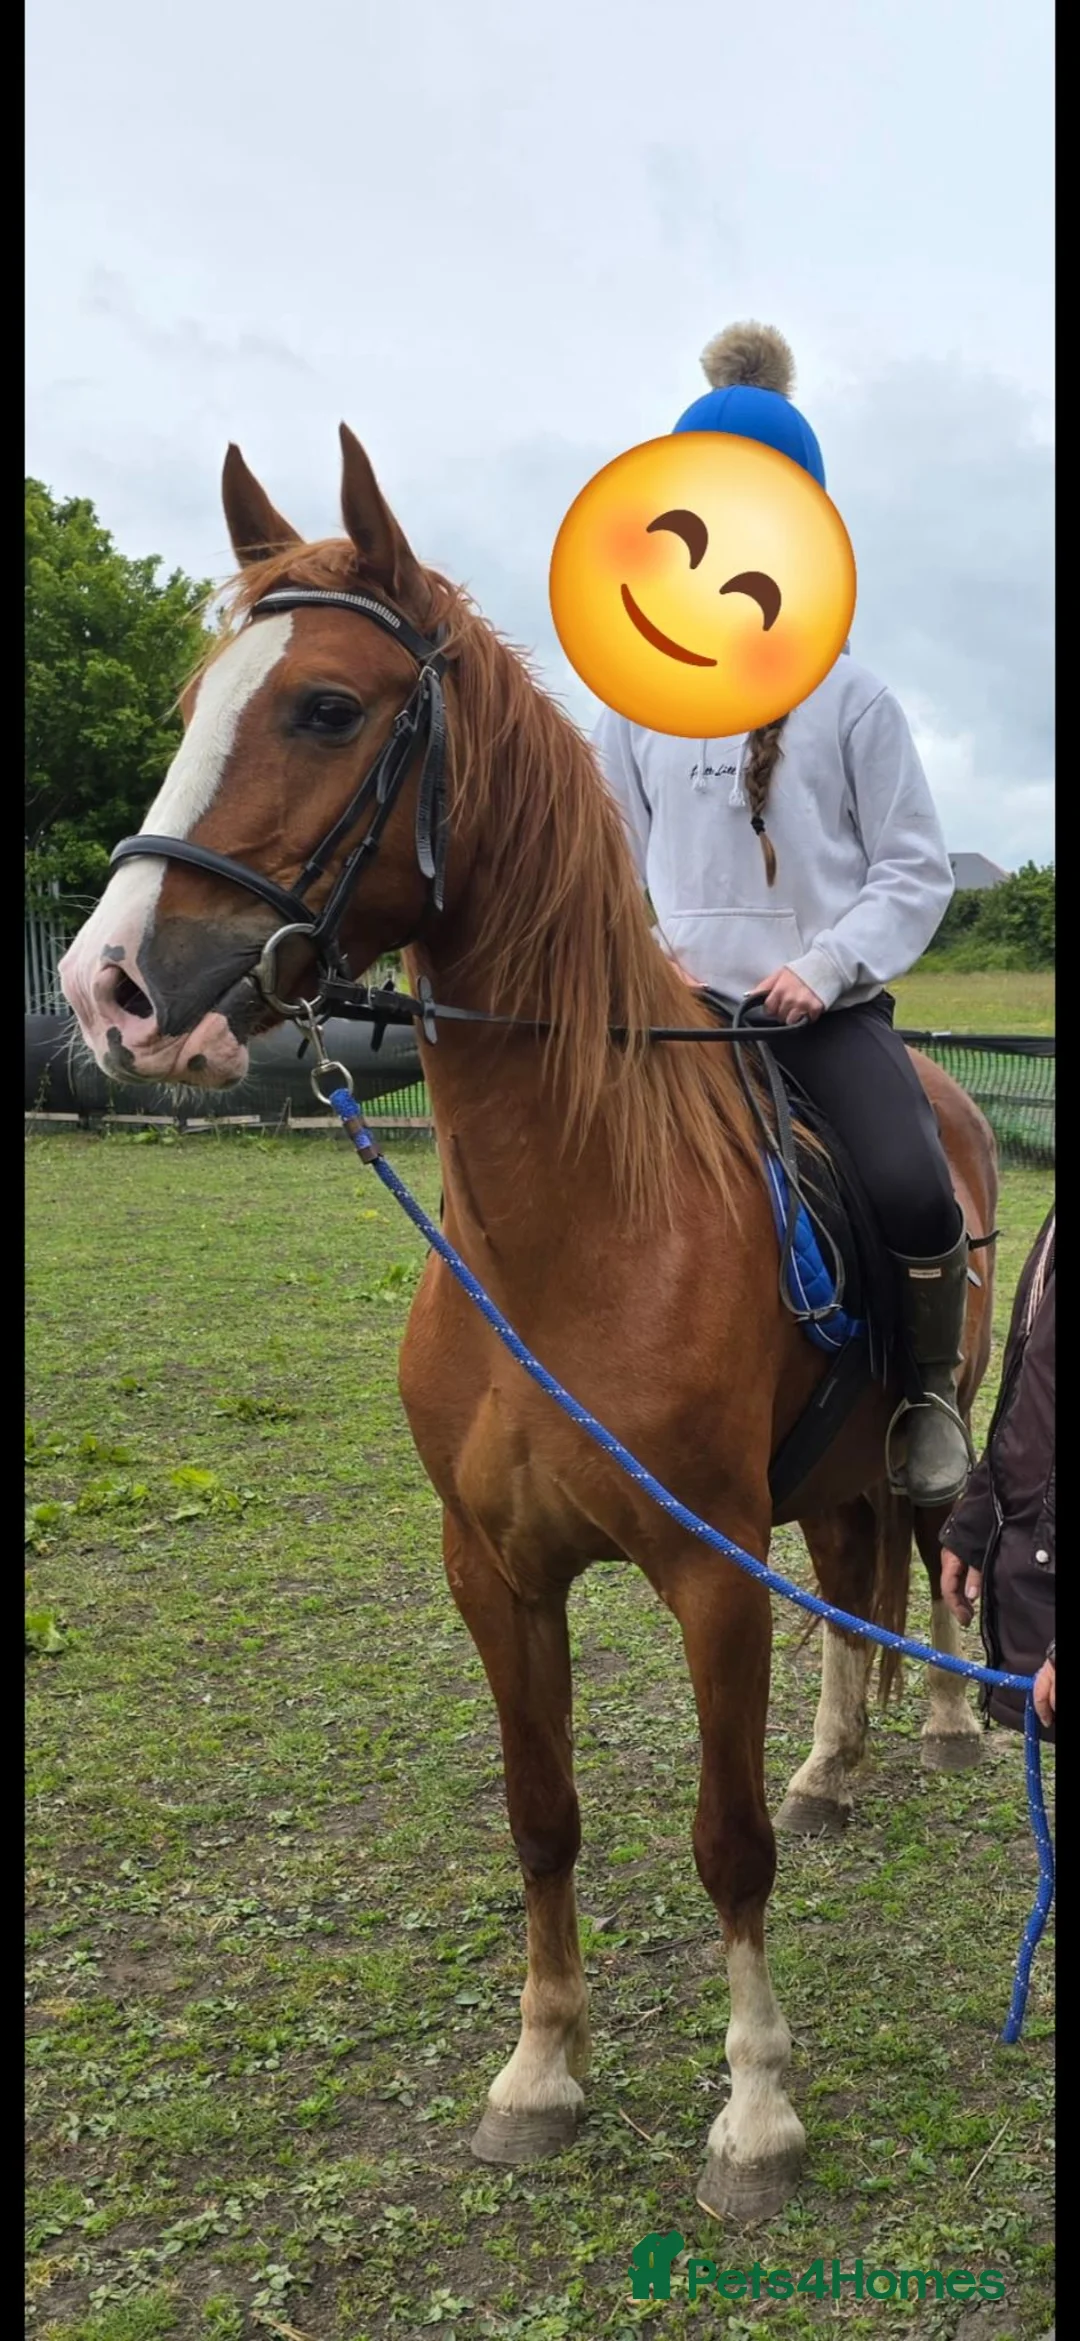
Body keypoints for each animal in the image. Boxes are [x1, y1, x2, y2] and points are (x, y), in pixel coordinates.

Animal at [59, 426, 997, 2221]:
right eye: (202, 695)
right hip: (817, 1474)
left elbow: (720, 1843)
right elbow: (542, 1816)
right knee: (854, 1576)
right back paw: (837, 1761)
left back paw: (939, 1725)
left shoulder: (711, 1570)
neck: (575, 1226)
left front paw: (755, 2112)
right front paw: (542, 2071)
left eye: (326, 708)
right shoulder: (491, 1570)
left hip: (918, 1423)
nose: (110, 990)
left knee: (922, 1546)